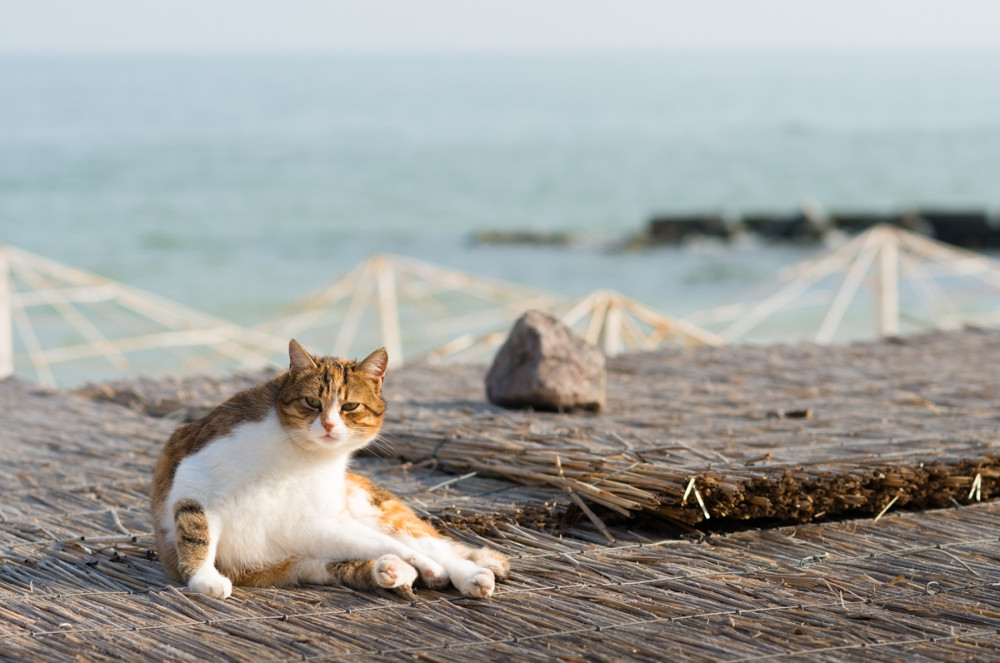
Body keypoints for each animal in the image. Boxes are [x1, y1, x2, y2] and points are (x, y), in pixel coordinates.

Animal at [148, 342, 508, 600]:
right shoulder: (196, 482)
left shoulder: (323, 520)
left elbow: (409, 549)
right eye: (311, 402)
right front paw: (204, 578)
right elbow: (196, 532)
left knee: (431, 544)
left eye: (349, 406)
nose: (329, 425)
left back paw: (472, 572)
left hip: (376, 514)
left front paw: (433, 569)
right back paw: (395, 570)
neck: (298, 457)